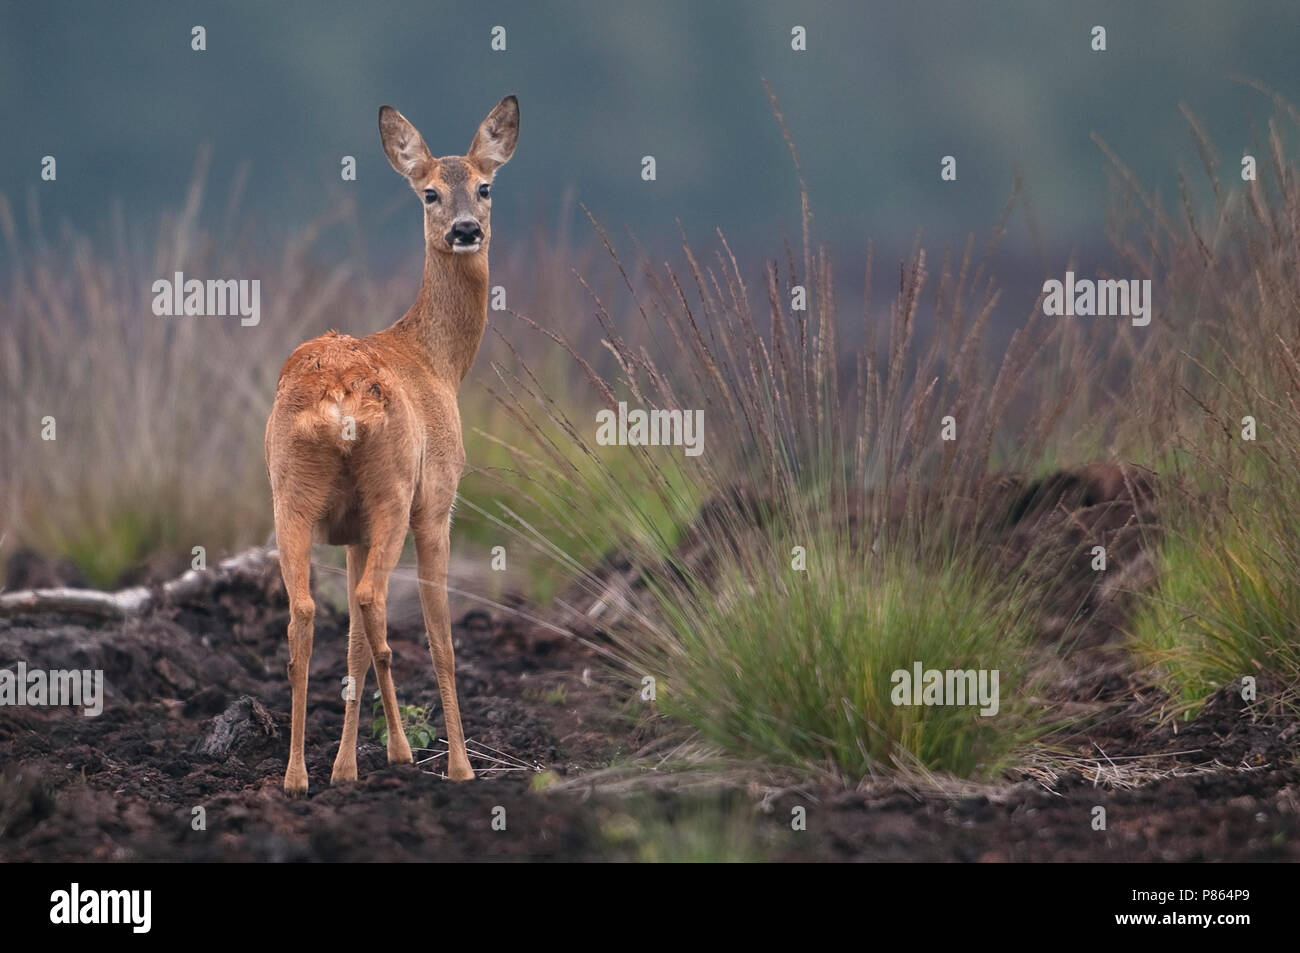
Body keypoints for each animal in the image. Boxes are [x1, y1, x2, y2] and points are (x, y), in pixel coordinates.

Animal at [262, 96, 517, 795]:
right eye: (429, 192)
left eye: (485, 187)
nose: (466, 229)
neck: (437, 360)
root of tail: (341, 401)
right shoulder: (439, 502)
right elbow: (440, 638)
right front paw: (454, 766)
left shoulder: (347, 532)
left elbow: (349, 637)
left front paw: (352, 762)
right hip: (393, 492)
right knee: (375, 603)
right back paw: (411, 758)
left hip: (290, 495)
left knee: (306, 611)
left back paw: (297, 776)